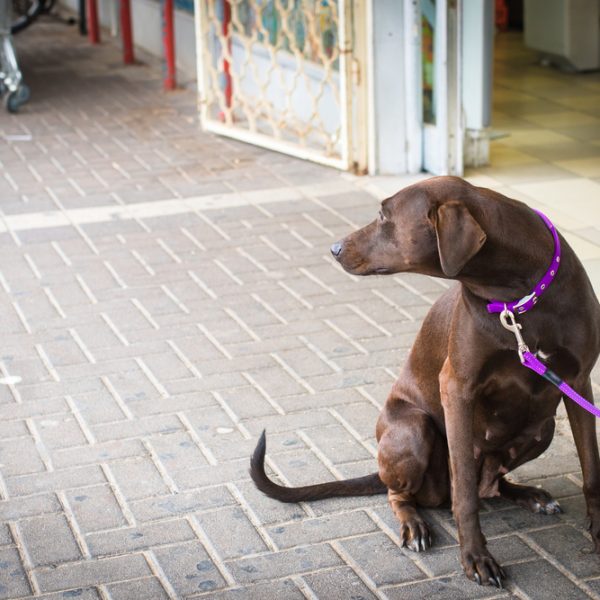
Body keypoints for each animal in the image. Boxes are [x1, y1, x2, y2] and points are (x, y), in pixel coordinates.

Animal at [248, 173, 600, 584]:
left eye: (384, 215)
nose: (334, 248)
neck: (518, 295)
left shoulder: (579, 383)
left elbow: (591, 473)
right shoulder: (457, 387)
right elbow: (464, 493)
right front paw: (476, 557)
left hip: (543, 429)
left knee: (493, 484)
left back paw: (530, 495)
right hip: (414, 429)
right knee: (406, 494)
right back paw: (414, 525)